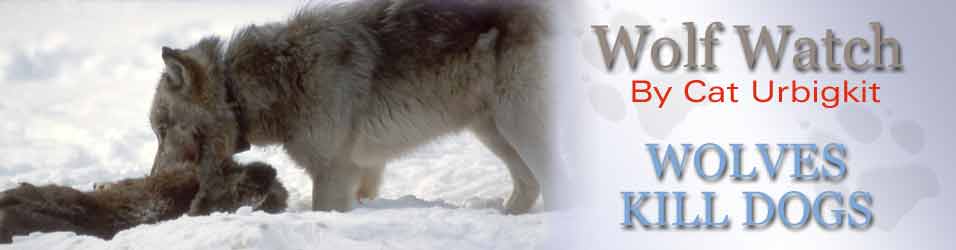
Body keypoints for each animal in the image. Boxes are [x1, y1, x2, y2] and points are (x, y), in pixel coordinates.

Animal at [151, 0, 560, 215]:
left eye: (161, 130)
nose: (154, 176)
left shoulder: (333, 171)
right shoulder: (363, 170)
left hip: (517, 126)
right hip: (494, 131)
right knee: (530, 184)